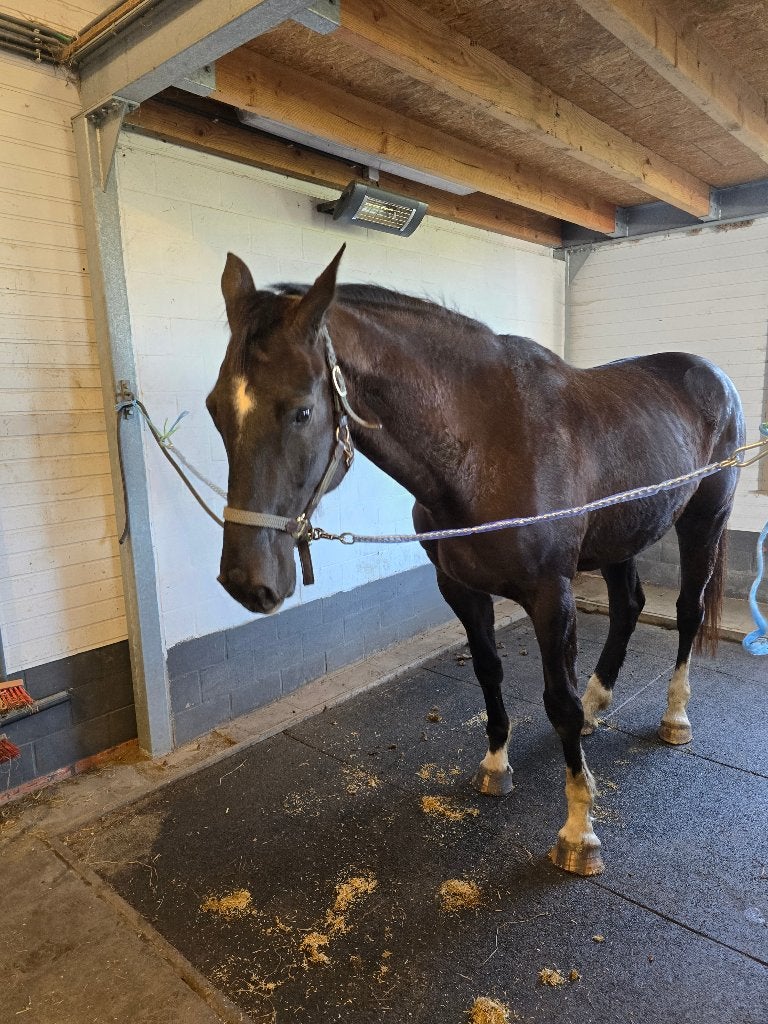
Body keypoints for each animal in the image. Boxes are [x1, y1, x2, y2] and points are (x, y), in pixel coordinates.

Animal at [206, 246, 745, 876]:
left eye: (301, 411)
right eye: (214, 408)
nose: (246, 582)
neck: (485, 445)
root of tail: (713, 375)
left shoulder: (551, 594)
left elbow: (557, 701)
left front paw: (578, 832)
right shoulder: (459, 587)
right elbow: (489, 670)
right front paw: (495, 767)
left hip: (703, 519)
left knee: (686, 611)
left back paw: (674, 717)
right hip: (622, 532)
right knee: (629, 605)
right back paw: (599, 703)